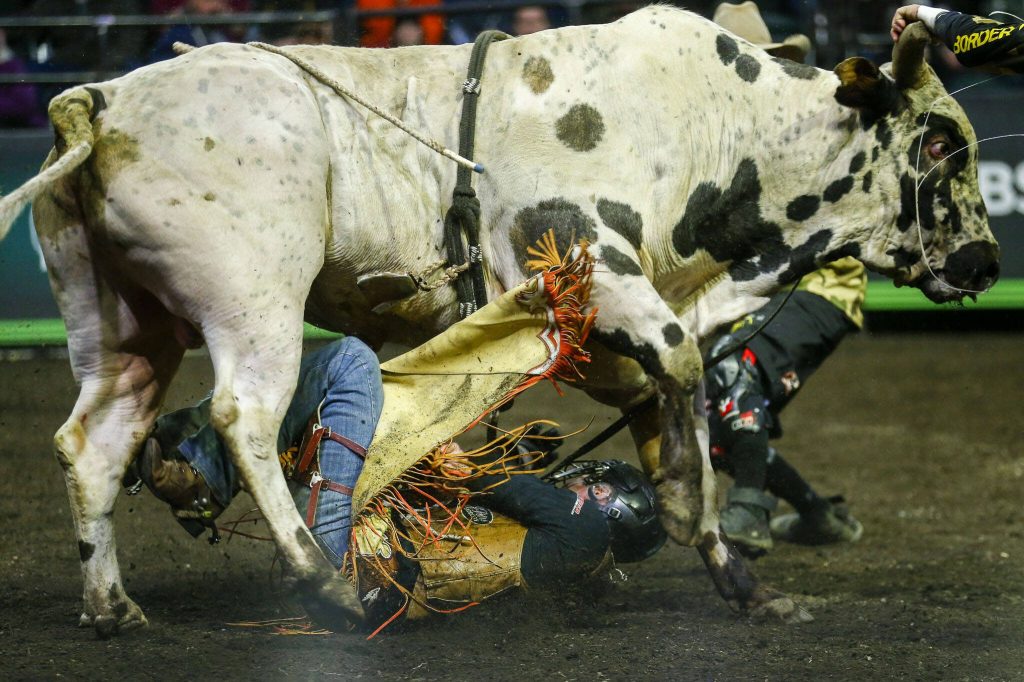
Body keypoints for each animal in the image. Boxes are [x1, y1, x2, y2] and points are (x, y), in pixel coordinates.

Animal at [0, 8, 999, 637]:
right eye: (940, 141)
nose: (986, 263)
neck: (714, 128)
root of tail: (101, 101)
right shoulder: (586, 259)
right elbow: (681, 368)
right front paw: (701, 525)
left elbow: (663, 399)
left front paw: (723, 563)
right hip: (254, 301)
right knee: (242, 415)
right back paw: (322, 582)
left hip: (124, 322)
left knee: (94, 439)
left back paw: (111, 608)